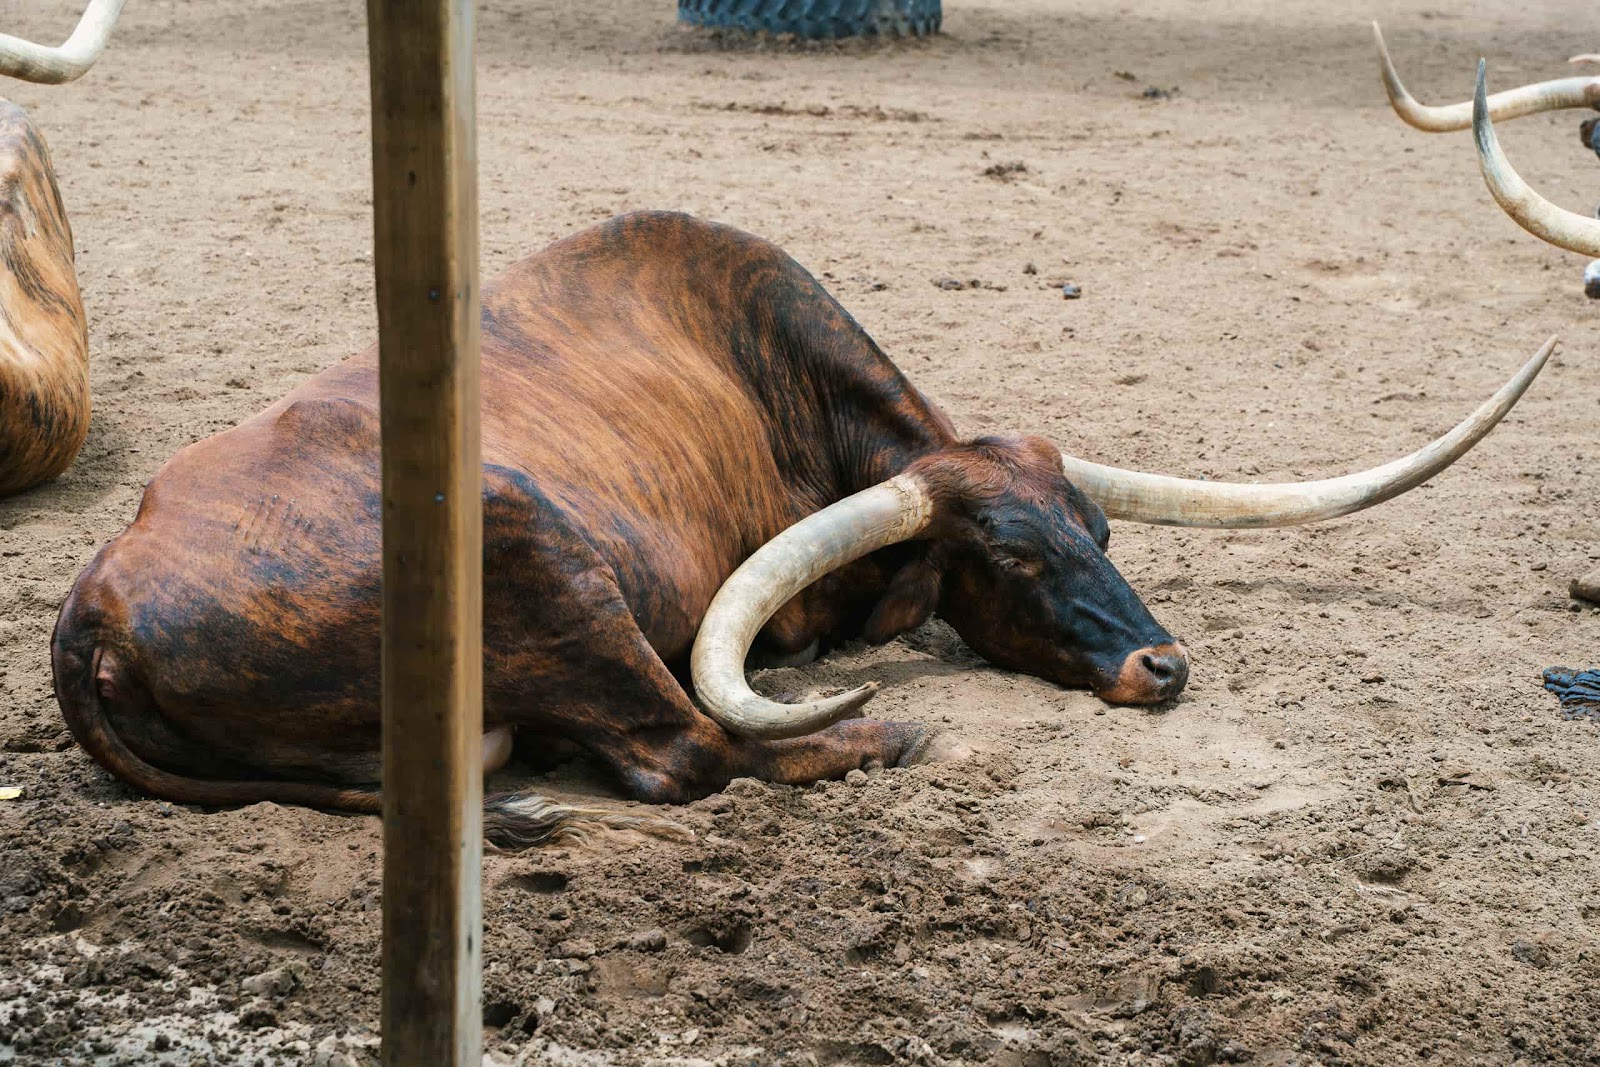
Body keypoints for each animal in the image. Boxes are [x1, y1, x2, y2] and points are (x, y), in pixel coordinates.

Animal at [51, 211, 1555, 845]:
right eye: (1011, 558)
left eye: (1101, 533)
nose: (1162, 663)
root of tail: (102, 595)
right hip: (534, 549)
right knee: (684, 748)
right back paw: (879, 734)